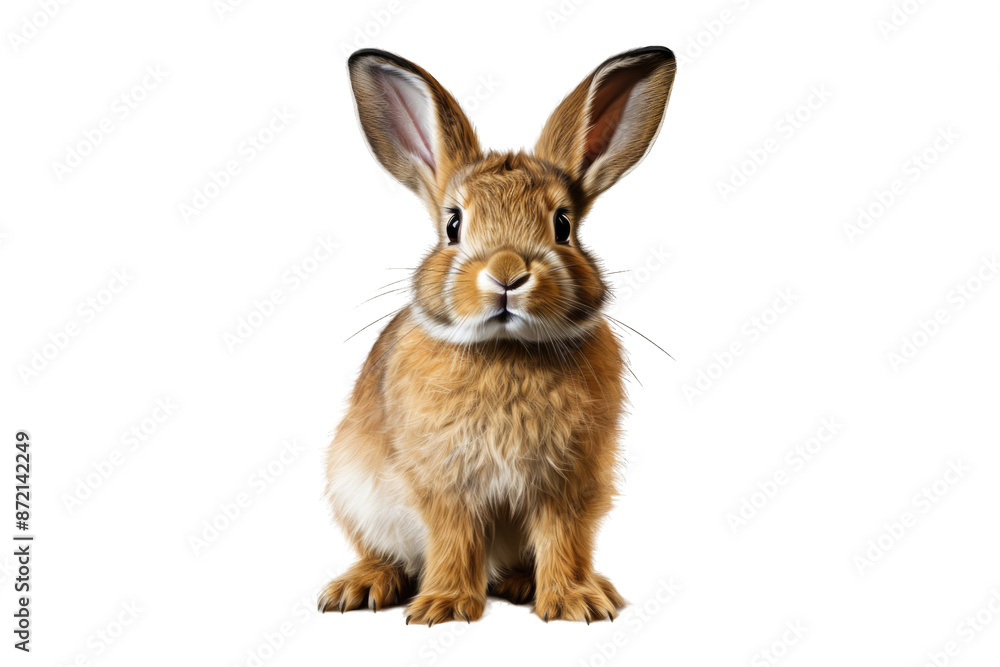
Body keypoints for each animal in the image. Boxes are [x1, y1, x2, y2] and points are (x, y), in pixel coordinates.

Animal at [319, 46, 676, 625]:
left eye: (563, 225)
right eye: (453, 225)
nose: (507, 272)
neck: (506, 350)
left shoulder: (570, 482)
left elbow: (562, 536)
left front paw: (577, 602)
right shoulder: (445, 483)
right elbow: (455, 537)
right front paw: (443, 607)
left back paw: (528, 583)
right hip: (353, 489)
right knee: (381, 550)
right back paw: (364, 587)